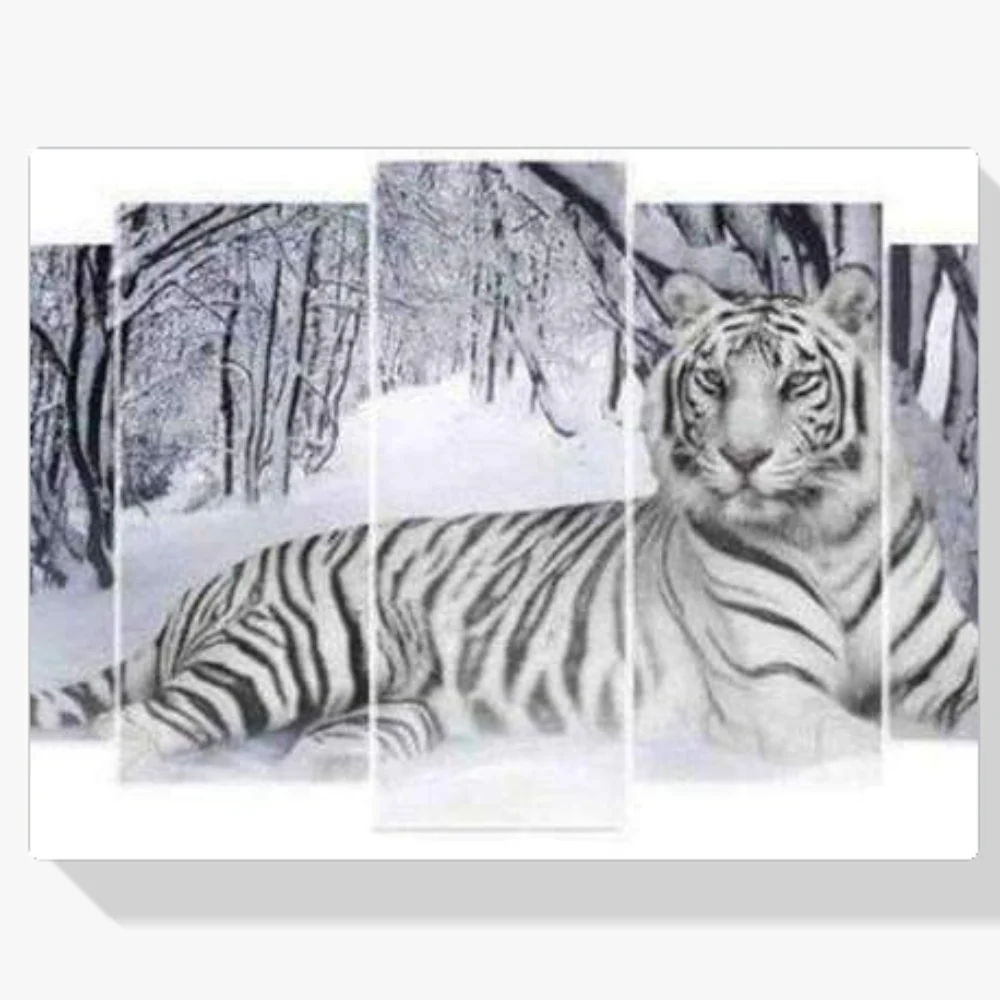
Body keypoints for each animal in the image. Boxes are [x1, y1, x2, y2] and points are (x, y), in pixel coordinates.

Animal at [29, 266, 978, 774]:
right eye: (714, 382)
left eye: (793, 383)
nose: (743, 459)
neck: (829, 535)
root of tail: (201, 587)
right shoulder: (778, 696)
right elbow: (869, 749)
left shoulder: (945, 659)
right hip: (296, 651)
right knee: (131, 729)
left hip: (381, 718)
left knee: (312, 756)